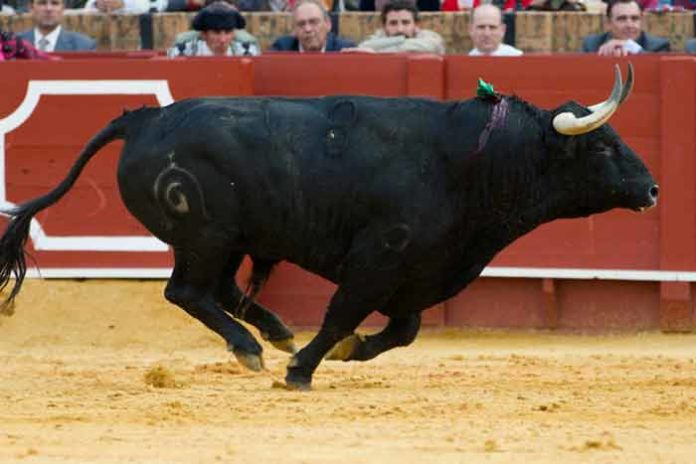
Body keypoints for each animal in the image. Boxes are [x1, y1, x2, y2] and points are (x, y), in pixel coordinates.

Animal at [0, 63, 656, 390]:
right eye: (602, 147)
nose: (652, 190)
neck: (473, 160)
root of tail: (141, 118)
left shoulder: (419, 270)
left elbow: (403, 331)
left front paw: (343, 352)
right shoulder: (378, 259)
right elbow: (344, 311)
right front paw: (303, 371)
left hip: (230, 240)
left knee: (220, 290)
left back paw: (275, 333)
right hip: (205, 237)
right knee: (186, 291)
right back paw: (253, 349)